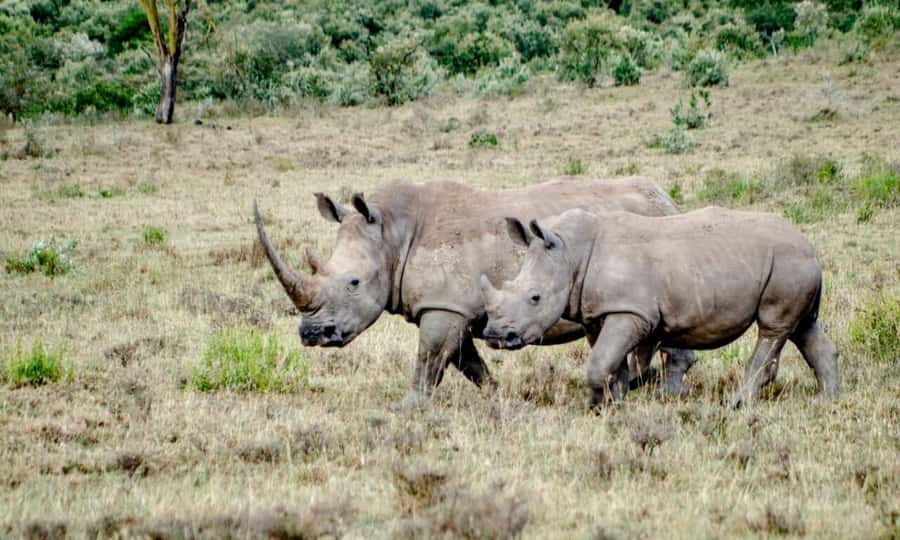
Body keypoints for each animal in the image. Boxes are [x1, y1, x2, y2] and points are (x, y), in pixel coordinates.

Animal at [254, 178, 697, 407]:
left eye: (353, 283)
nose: (311, 335)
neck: (391, 233)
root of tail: (667, 199)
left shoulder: (444, 307)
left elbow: (430, 360)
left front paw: (410, 408)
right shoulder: (454, 308)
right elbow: (467, 363)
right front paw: (498, 398)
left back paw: (666, 397)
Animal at [480, 207, 841, 409]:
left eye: (535, 297)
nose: (495, 336)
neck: (570, 254)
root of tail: (809, 243)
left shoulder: (630, 312)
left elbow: (599, 362)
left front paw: (597, 407)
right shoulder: (598, 312)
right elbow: (611, 361)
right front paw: (614, 403)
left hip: (786, 261)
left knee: (773, 328)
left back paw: (737, 405)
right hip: (792, 262)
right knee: (804, 328)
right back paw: (828, 400)